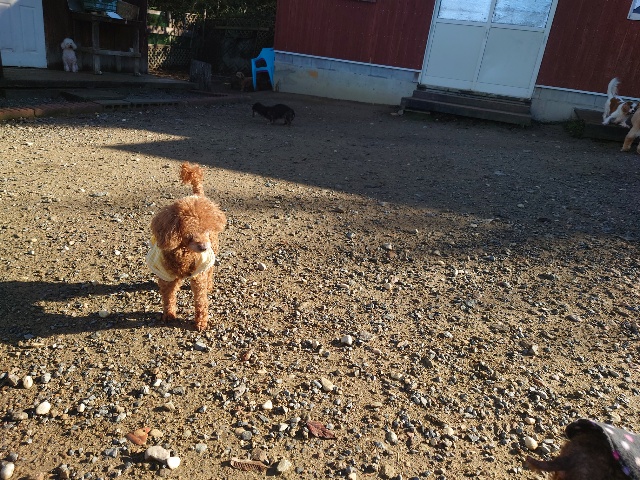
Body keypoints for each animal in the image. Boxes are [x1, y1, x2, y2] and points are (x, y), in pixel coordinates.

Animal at [146, 163, 227, 331]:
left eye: (207, 230)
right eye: (189, 233)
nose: (204, 247)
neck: (184, 253)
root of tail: (198, 195)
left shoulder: (198, 275)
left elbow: (201, 300)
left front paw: (201, 322)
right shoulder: (165, 275)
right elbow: (168, 297)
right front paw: (169, 315)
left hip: (212, 254)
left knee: (210, 270)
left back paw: (209, 285)